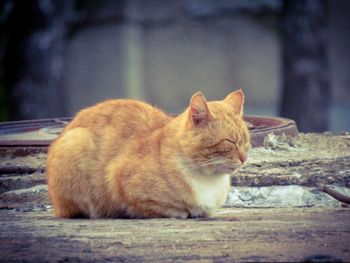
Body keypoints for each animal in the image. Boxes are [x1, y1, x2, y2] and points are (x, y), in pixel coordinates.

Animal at [45, 89, 249, 220]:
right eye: (230, 141)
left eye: (246, 142)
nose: (244, 158)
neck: (208, 180)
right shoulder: (120, 183)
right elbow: (169, 209)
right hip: (74, 144)